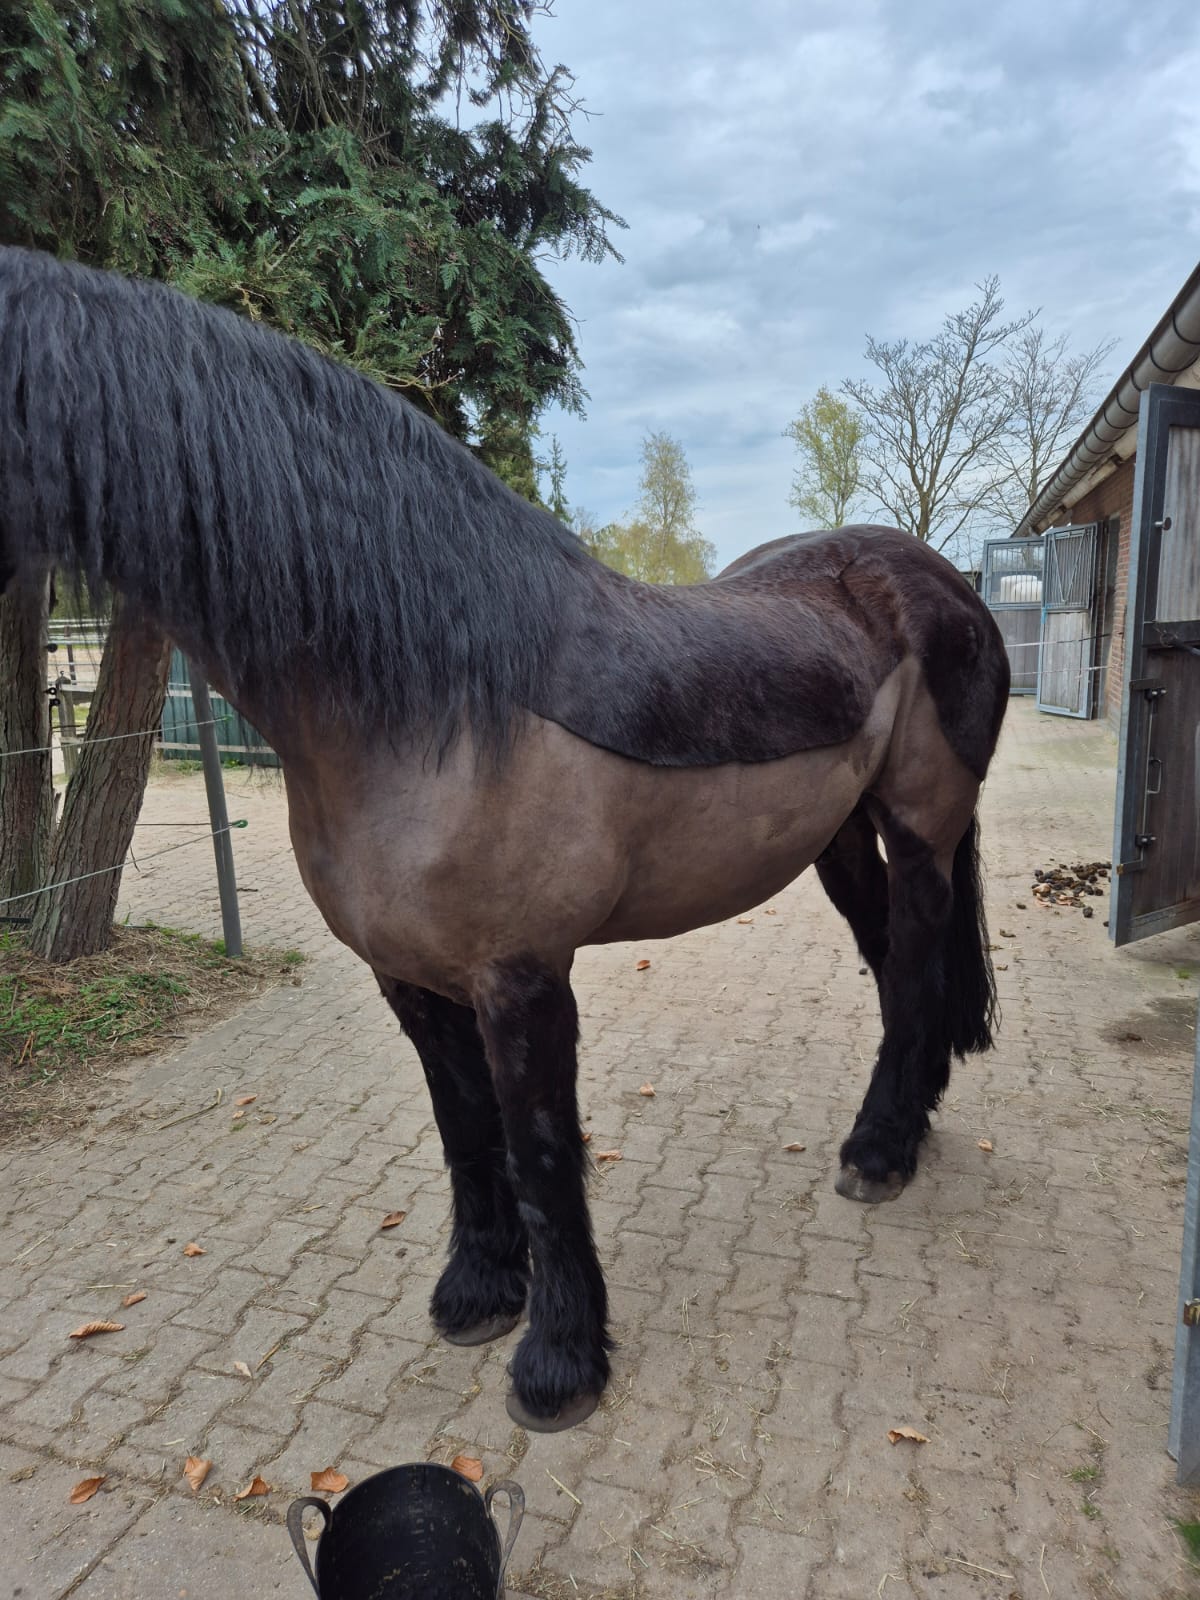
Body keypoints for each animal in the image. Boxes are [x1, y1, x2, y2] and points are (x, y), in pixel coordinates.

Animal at [0, 247, 1009, 1432]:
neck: (434, 699)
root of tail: (937, 580)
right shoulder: (412, 978)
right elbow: (465, 1132)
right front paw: (481, 1291)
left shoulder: (522, 978)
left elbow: (539, 1153)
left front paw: (561, 1360)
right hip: (840, 839)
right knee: (899, 966)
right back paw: (908, 1123)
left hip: (922, 826)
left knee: (914, 966)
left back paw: (880, 1151)